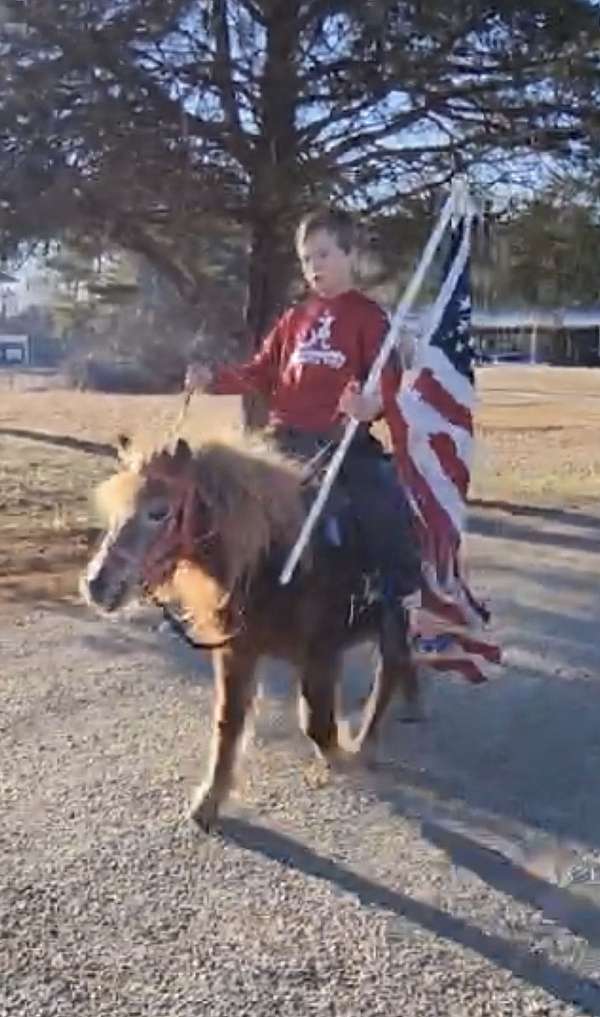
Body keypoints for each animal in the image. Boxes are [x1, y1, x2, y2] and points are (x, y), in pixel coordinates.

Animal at [79, 433, 421, 829]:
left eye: (159, 512)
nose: (97, 585)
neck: (276, 563)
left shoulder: (321, 654)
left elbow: (318, 725)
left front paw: (343, 757)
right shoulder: (237, 653)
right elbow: (228, 724)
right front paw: (208, 802)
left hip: (396, 618)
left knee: (389, 672)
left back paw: (367, 745)